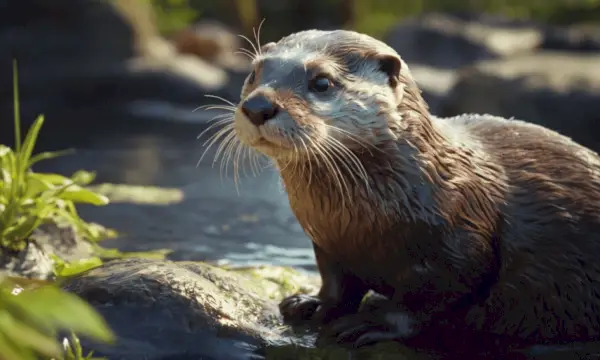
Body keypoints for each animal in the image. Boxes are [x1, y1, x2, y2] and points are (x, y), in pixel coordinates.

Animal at [226, 29, 600, 350]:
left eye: (322, 82)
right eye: (254, 74)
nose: (258, 107)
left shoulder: (460, 245)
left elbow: (429, 299)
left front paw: (372, 324)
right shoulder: (328, 243)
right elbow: (336, 282)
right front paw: (313, 304)